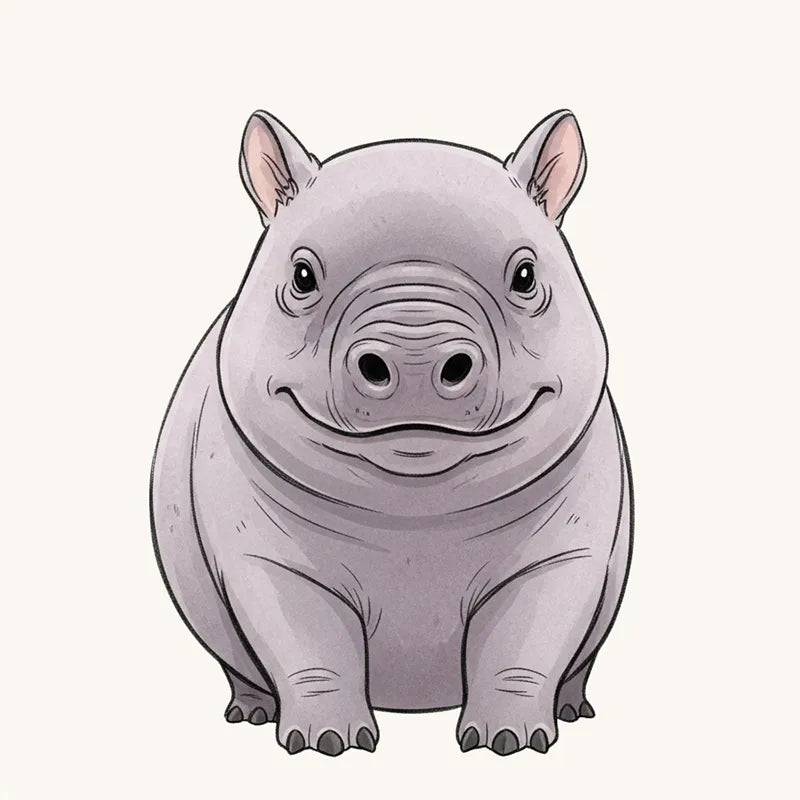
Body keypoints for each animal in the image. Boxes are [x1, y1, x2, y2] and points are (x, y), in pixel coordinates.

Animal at [150, 108, 633, 757]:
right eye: (301, 276)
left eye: (527, 277)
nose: (415, 359)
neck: (416, 512)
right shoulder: (263, 547)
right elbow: (306, 638)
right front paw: (328, 743)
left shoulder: (565, 543)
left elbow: (527, 637)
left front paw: (510, 741)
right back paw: (249, 712)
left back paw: (574, 708)